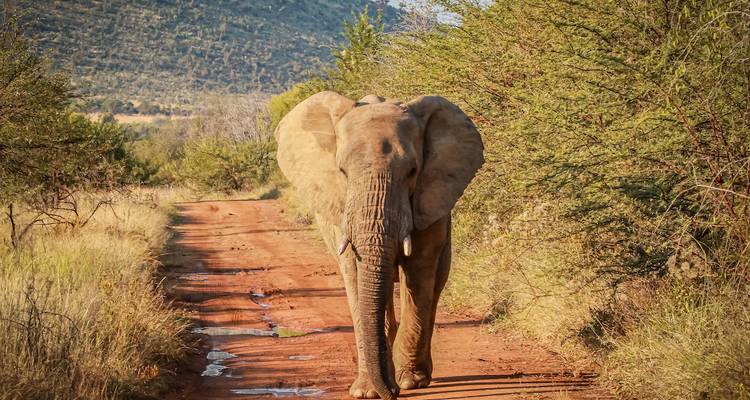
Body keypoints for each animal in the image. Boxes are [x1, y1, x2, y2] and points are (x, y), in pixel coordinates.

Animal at [274, 91, 483, 399]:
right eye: (342, 171)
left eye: (412, 171)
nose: (392, 393)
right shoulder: (341, 208)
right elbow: (354, 273)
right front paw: (367, 392)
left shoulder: (428, 200)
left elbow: (419, 271)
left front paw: (409, 382)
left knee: (435, 284)